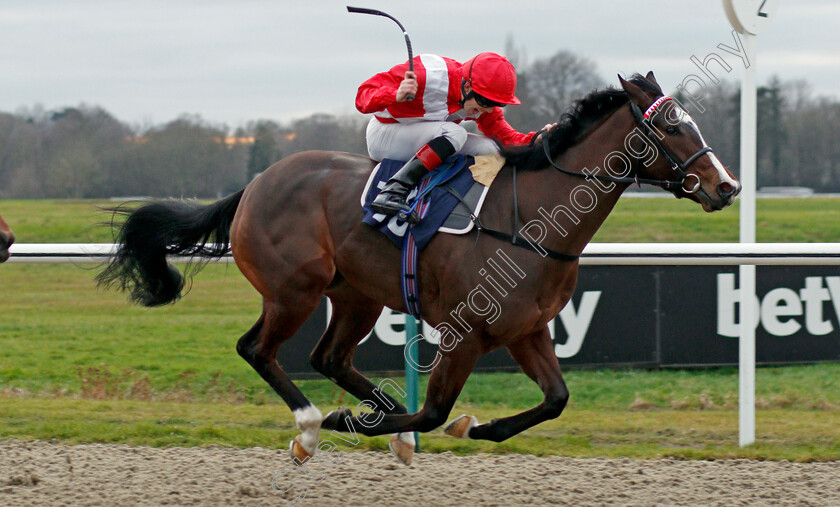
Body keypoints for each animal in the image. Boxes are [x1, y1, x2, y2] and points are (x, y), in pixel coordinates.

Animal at [100, 73, 740, 466]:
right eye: (672, 126)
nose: (726, 186)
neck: (530, 220)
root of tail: (256, 183)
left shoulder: (527, 329)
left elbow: (555, 399)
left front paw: (474, 429)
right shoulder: (466, 330)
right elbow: (435, 411)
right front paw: (360, 423)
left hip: (356, 295)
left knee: (328, 357)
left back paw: (378, 422)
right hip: (294, 290)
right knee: (257, 349)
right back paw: (311, 425)